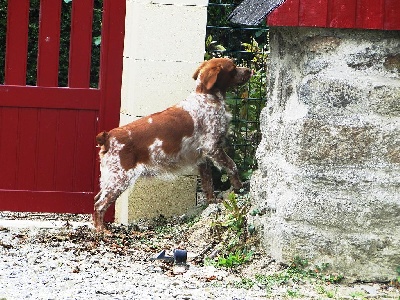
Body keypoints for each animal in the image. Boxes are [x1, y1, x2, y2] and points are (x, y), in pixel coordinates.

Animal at [93, 58, 253, 232]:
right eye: (233, 68)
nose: (250, 70)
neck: (206, 96)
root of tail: (108, 137)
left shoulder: (203, 157)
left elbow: (208, 182)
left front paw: (212, 201)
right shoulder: (213, 147)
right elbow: (232, 166)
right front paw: (239, 187)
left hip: (110, 179)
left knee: (96, 199)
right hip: (120, 179)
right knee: (99, 205)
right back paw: (101, 230)